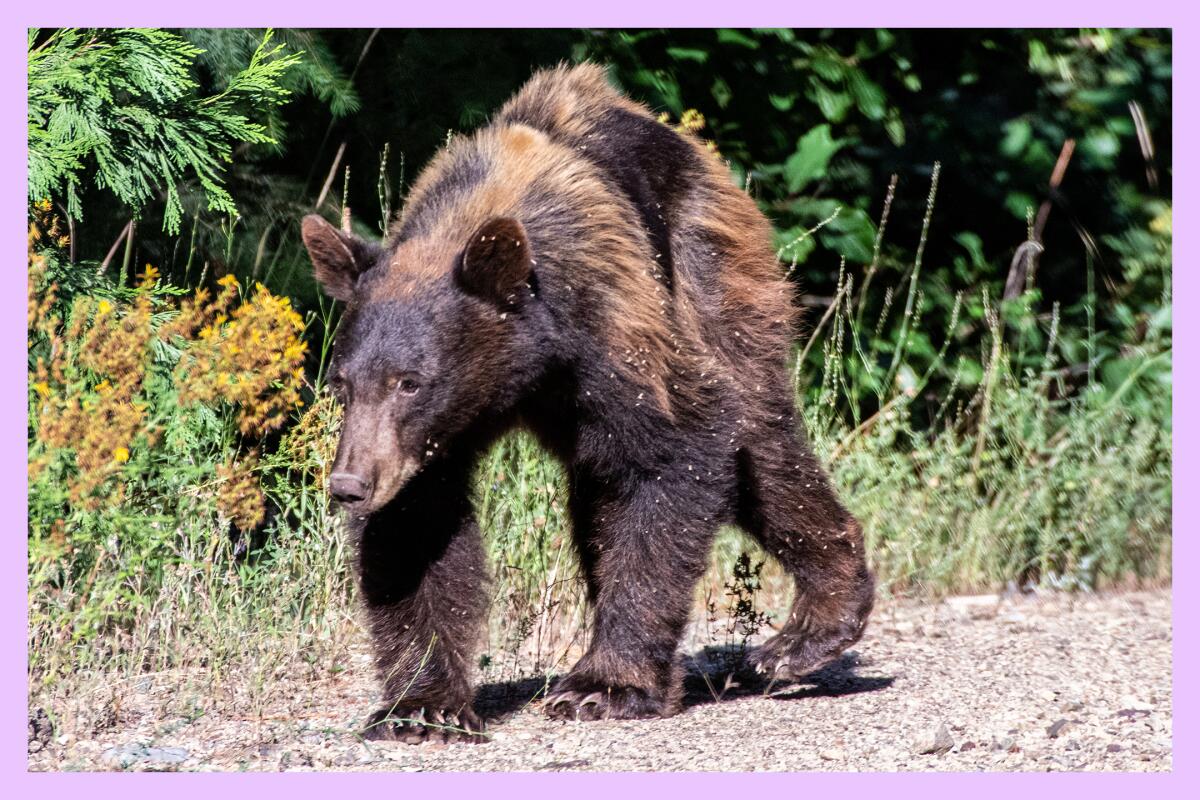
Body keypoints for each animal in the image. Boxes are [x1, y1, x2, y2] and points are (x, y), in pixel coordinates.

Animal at [302, 62, 873, 743]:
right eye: (341, 383)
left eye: (410, 381)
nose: (349, 485)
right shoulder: (429, 442)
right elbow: (420, 527)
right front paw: (422, 705)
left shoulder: (615, 327)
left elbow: (673, 456)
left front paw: (605, 685)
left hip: (710, 274)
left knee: (760, 441)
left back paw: (805, 632)